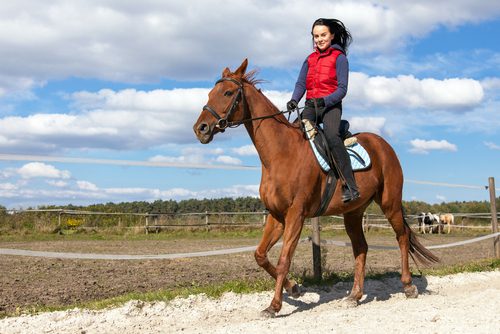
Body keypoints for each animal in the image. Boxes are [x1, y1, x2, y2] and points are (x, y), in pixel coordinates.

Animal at [192, 58, 438, 318]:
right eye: (210, 93)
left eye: (228, 93)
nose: (201, 128)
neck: (280, 153)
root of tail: (384, 145)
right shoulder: (277, 216)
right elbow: (260, 255)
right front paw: (294, 288)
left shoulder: (296, 215)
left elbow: (284, 259)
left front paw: (274, 305)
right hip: (353, 213)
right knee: (361, 247)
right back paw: (354, 295)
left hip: (390, 203)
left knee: (402, 238)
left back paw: (408, 286)